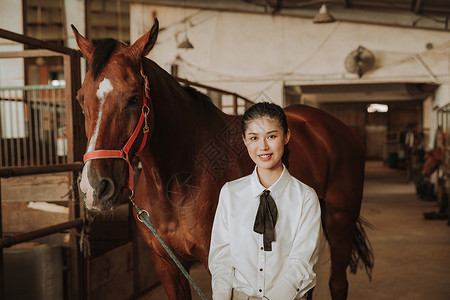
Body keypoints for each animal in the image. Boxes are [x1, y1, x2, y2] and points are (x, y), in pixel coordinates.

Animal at [73, 19, 372, 300]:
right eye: (80, 99)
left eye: (134, 98)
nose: (95, 188)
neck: (177, 182)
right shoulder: (167, 266)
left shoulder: (218, 263)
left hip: (340, 221)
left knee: (337, 284)